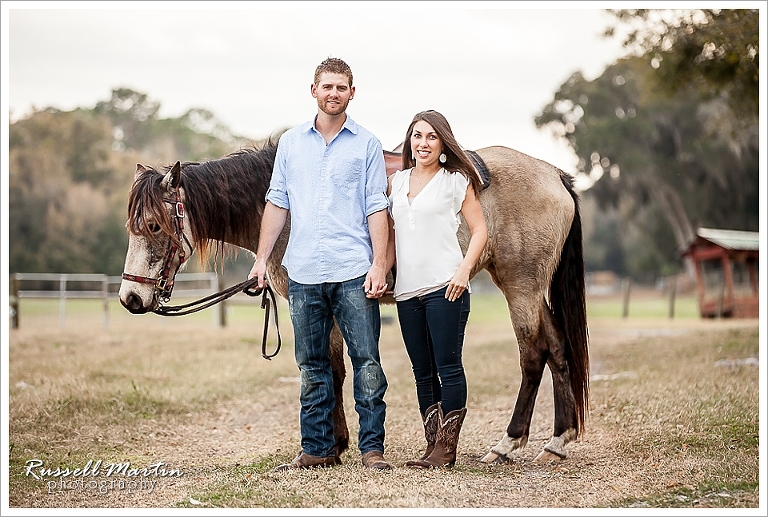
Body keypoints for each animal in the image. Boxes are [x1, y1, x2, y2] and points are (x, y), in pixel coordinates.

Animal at [118, 141, 588, 464]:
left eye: (154, 225)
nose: (131, 297)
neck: (290, 209)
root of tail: (554, 175)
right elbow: (335, 368)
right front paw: (335, 446)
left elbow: (333, 369)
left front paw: (335, 445)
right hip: (531, 291)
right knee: (558, 349)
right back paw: (557, 441)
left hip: (521, 288)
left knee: (534, 354)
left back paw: (509, 443)